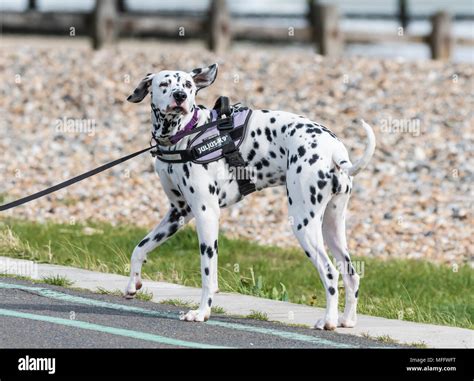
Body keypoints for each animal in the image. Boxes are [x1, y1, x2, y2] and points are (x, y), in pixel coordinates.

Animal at [124, 63, 376, 330]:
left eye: (188, 85)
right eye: (164, 84)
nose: (180, 96)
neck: (187, 134)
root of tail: (334, 149)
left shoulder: (206, 214)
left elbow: (207, 275)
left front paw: (201, 312)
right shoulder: (179, 213)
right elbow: (140, 248)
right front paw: (132, 284)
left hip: (304, 225)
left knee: (330, 273)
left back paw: (328, 321)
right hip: (331, 228)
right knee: (351, 274)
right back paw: (346, 320)